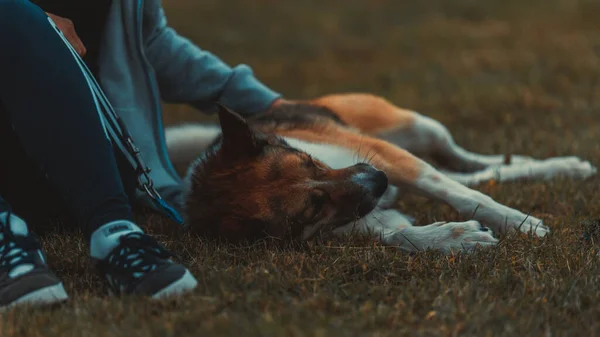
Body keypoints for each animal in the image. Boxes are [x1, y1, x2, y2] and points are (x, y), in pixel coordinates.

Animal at [163, 93, 596, 253]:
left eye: (309, 161)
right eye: (312, 207)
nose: (378, 181)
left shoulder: (385, 156)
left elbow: (458, 194)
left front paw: (518, 222)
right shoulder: (355, 217)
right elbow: (397, 233)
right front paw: (453, 238)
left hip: (416, 128)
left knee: (465, 164)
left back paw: (553, 165)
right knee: (479, 174)